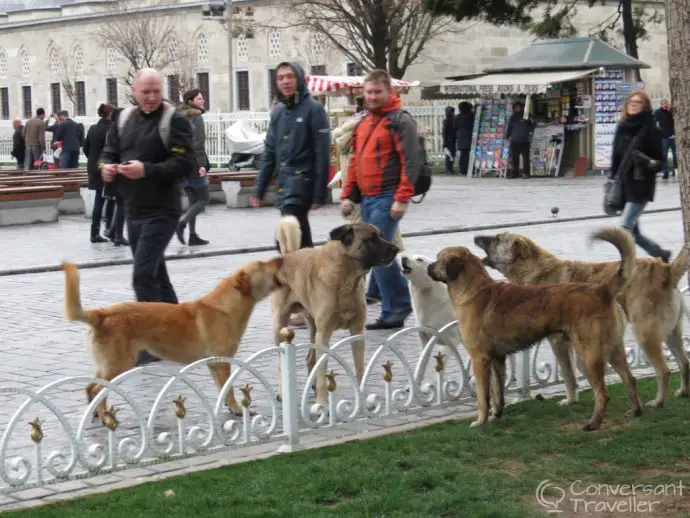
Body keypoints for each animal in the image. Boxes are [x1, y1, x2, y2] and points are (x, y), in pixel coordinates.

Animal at [60, 258, 284, 424]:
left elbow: (222, 390)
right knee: (98, 389)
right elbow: (228, 389)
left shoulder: (214, 365)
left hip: (108, 365)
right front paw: (238, 409)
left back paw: (96, 415)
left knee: (91, 388)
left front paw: (230, 408)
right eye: (262, 264)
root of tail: (101, 314)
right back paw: (105, 418)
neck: (227, 306)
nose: (279, 257)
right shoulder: (222, 363)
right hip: (119, 364)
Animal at [270, 215, 398, 406]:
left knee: (310, 359)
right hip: (280, 325)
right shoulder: (324, 334)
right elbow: (323, 371)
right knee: (281, 361)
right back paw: (282, 392)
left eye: (381, 236)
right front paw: (322, 402)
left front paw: (363, 397)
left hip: (313, 328)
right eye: (372, 239)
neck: (346, 277)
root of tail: (288, 255)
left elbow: (360, 368)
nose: (396, 249)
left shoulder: (357, 331)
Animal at [428, 230, 644, 432]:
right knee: (629, 379)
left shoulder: (479, 359)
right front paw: (497, 414)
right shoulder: (497, 359)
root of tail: (603, 291)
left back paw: (594, 423)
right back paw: (635, 411)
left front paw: (480, 421)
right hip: (613, 348)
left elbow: (483, 397)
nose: (429, 267)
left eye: (439, 258)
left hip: (588, 354)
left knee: (602, 393)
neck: (473, 288)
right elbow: (498, 393)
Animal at [472, 229, 688, 410]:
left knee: (664, 370)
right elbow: (579, 372)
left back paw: (658, 401)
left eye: (498, 238)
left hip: (646, 334)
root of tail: (666, 269)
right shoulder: (574, 343)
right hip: (671, 333)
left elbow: (568, 375)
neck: (534, 270)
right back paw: (683, 392)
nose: (475, 236)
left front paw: (570, 400)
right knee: (684, 361)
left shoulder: (558, 342)